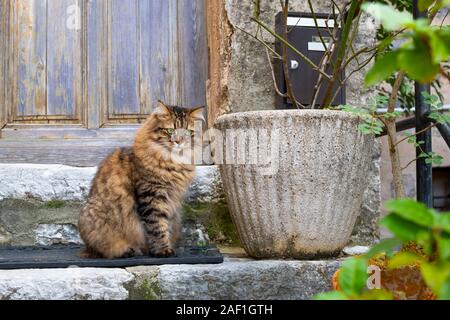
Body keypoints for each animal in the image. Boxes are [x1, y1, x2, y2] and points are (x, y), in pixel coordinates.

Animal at [78, 101, 204, 258]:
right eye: (170, 130)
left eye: (187, 132)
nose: (178, 142)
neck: (174, 163)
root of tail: (87, 247)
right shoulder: (152, 197)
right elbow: (157, 227)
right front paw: (163, 250)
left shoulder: (170, 202)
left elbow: (165, 226)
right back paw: (127, 251)